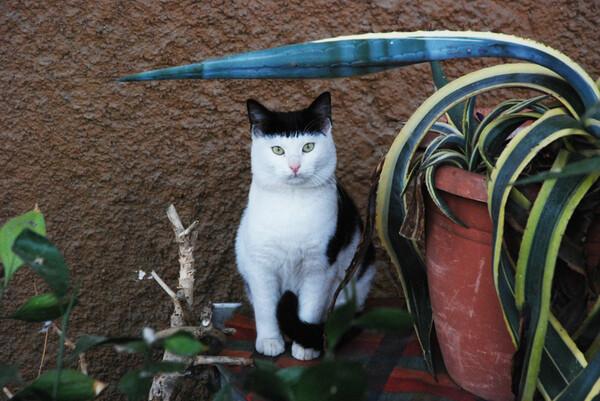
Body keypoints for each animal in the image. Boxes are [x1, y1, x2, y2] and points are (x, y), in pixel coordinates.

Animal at [234, 93, 376, 360]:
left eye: (308, 147)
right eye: (277, 150)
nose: (294, 166)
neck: (292, 202)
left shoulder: (319, 267)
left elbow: (309, 307)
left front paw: (305, 348)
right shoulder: (260, 267)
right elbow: (266, 308)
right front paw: (270, 341)